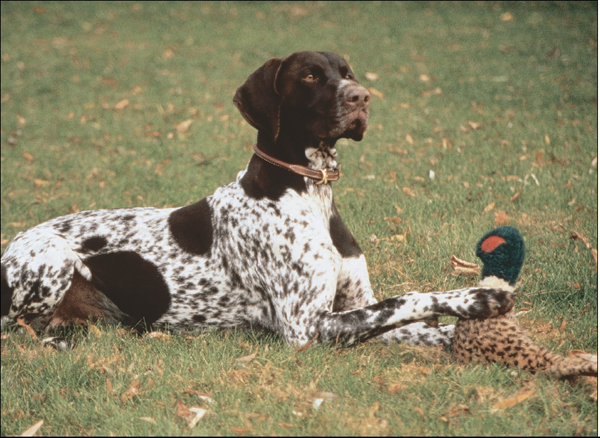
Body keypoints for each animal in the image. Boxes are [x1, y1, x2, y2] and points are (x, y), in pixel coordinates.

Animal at [1, 51, 516, 348]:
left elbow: (415, 322)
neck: (309, 193)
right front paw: (480, 297)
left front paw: (462, 335)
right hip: (51, 258)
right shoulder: (307, 327)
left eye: (347, 73)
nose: (362, 97)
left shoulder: (353, 304)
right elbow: (409, 297)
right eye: (310, 76)